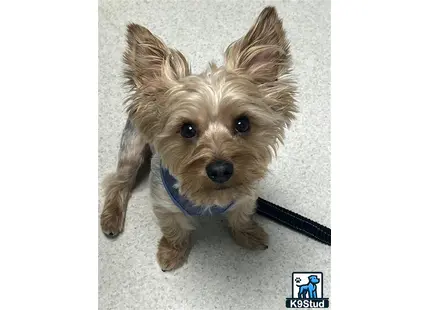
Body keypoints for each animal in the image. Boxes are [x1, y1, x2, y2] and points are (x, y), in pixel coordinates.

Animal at [99, 5, 298, 272]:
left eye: (243, 123)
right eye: (187, 129)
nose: (220, 170)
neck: (208, 197)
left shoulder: (246, 195)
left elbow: (241, 216)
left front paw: (248, 234)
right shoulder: (164, 203)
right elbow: (174, 229)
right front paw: (171, 253)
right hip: (133, 145)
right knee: (118, 181)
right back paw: (111, 217)